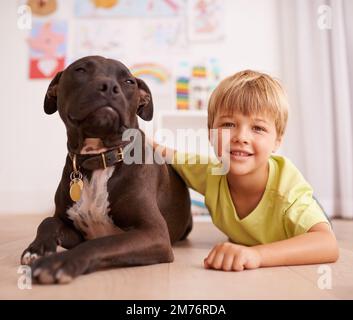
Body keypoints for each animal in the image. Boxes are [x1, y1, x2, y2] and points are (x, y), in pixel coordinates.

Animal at [21, 56, 192, 284]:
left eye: (128, 82)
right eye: (80, 70)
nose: (109, 87)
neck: (99, 159)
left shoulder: (155, 233)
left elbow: (102, 242)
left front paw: (59, 261)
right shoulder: (75, 229)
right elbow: (48, 221)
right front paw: (37, 249)